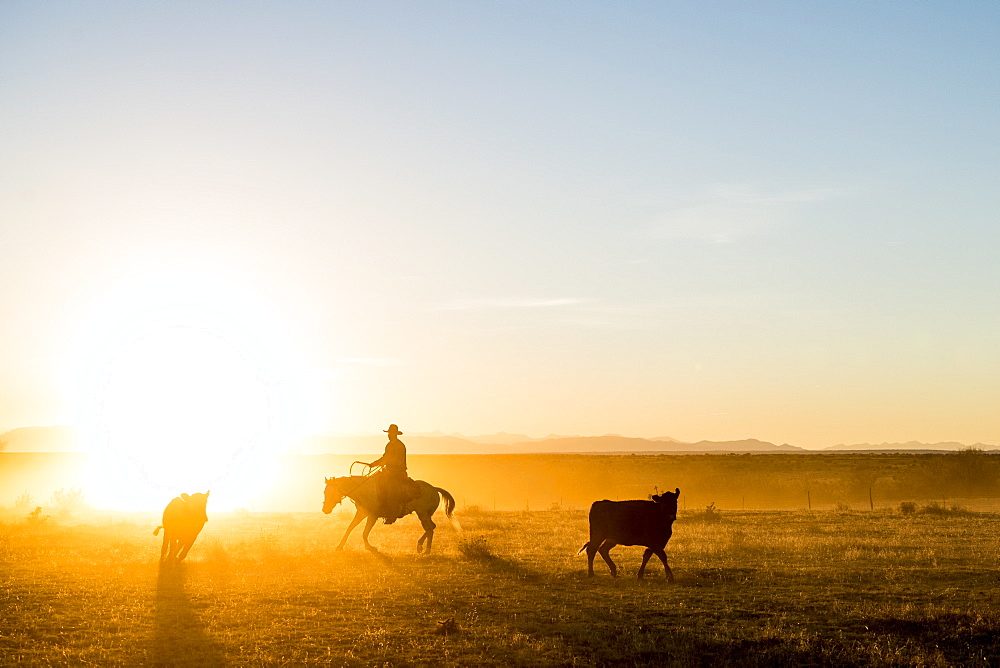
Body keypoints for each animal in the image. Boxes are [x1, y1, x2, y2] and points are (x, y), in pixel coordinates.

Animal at [324, 474, 458, 552]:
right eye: (325, 491)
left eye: (331, 492)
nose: (325, 509)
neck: (363, 490)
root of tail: (434, 488)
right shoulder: (361, 513)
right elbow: (350, 527)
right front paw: (339, 546)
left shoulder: (372, 516)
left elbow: (365, 532)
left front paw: (370, 547)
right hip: (425, 515)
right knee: (431, 527)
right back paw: (423, 547)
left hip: (423, 514)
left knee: (429, 528)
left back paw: (424, 549)